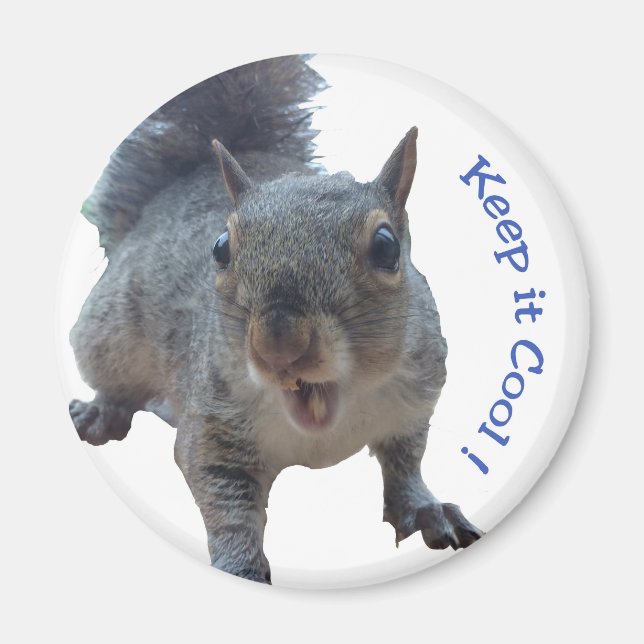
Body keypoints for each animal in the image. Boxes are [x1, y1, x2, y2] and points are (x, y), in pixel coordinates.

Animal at [69, 54, 483, 584]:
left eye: (387, 247)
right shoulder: (213, 428)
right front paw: (241, 568)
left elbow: (405, 465)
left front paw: (425, 509)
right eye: (220, 248)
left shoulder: (414, 403)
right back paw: (102, 411)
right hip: (107, 335)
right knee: (114, 382)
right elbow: (226, 504)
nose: (278, 345)